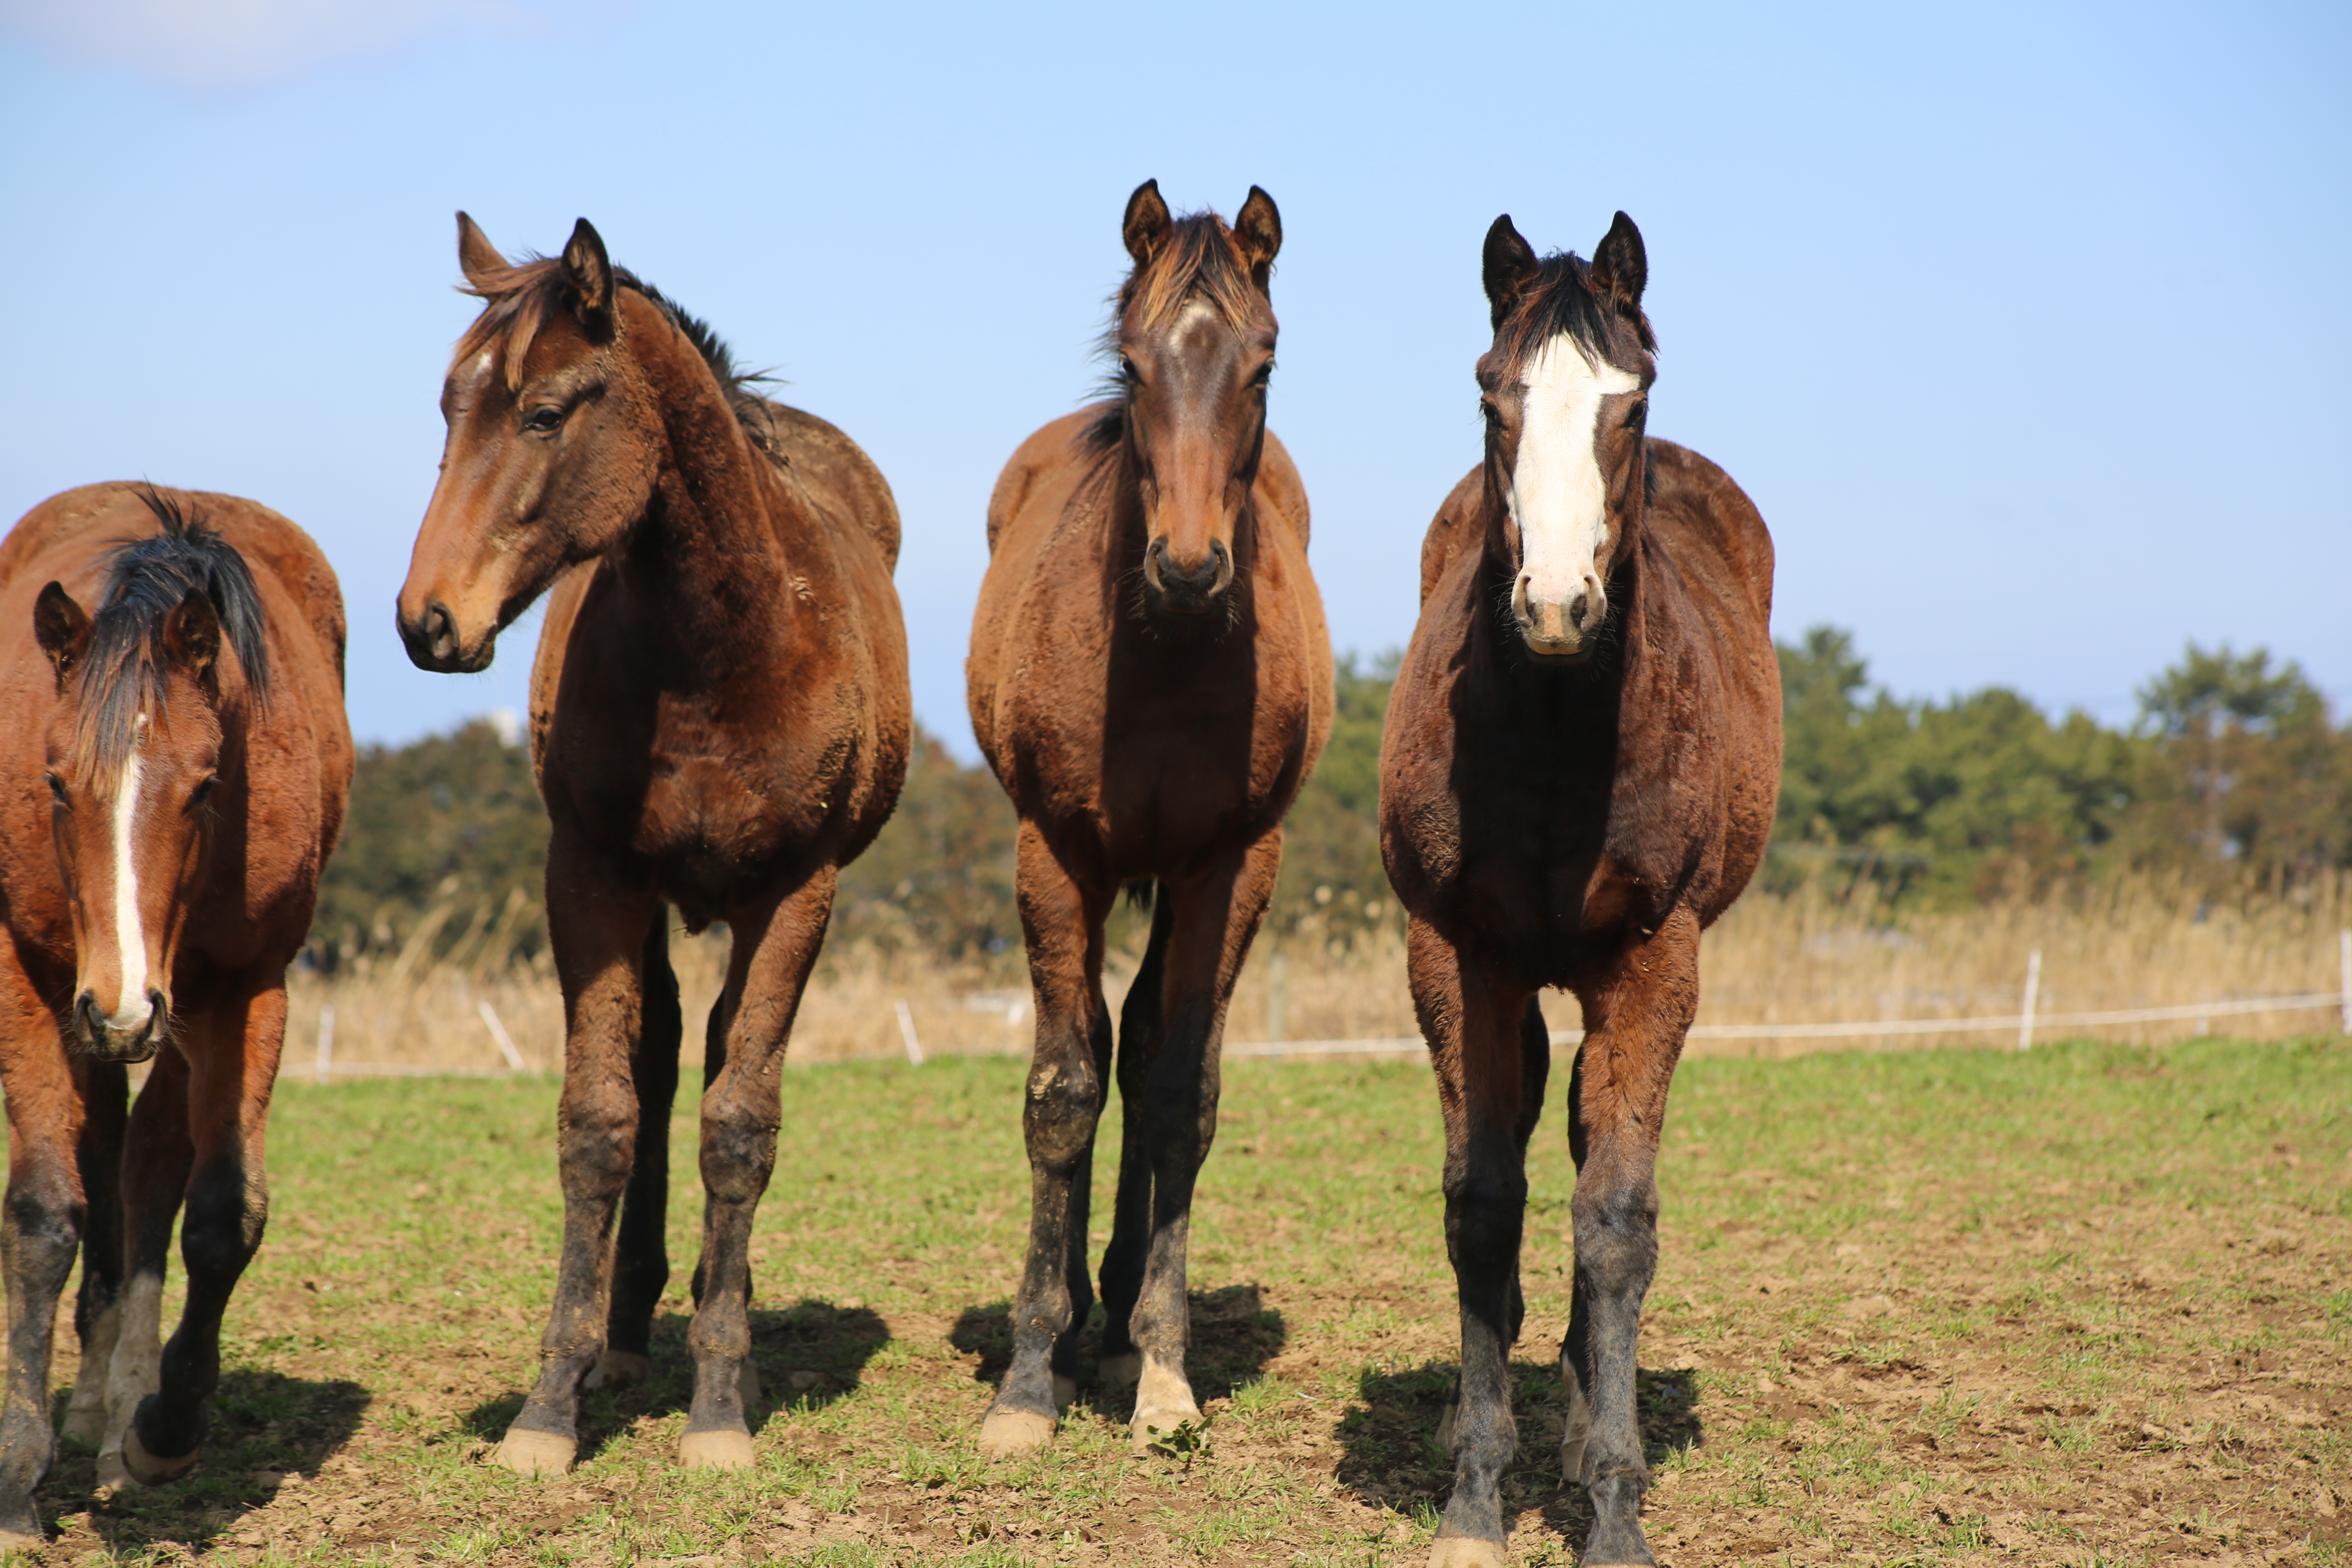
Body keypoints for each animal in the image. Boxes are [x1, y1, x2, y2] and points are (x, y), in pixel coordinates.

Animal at [0, 486, 353, 1542]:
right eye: (55, 779)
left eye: (204, 784)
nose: (119, 1011)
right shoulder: (31, 977)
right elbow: (44, 1213)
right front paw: (19, 1475)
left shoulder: (245, 987)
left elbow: (221, 1214)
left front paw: (163, 1430)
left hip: (181, 1011)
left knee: (149, 1166)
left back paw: (121, 1408)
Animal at [395, 215, 908, 1476]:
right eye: (448, 404)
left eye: (543, 412)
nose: (429, 620)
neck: (720, 643)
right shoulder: (590, 876)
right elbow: (600, 1121)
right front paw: (549, 1407)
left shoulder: (797, 892)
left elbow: (741, 1126)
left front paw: (720, 1406)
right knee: (668, 1058)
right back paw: (627, 1332)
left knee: (721, 1062)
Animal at [1373, 217, 1778, 1568]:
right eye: (1491, 395)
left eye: (1629, 401)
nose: (1555, 605)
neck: (1556, 725)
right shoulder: (1457, 953)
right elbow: (1482, 1203)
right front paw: (1473, 1494)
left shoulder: (1654, 958)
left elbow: (1615, 1220)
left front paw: (1611, 1502)